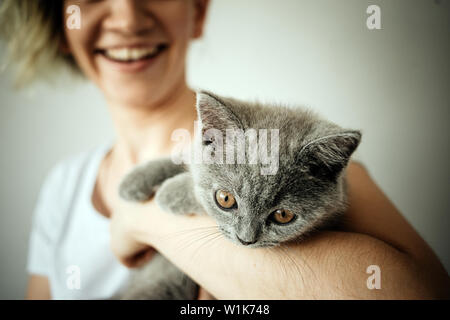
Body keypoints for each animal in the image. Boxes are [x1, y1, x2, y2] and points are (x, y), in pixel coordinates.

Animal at [117, 92, 362, 300]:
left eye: (283, 215)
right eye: (226, 199)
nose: (246, 239)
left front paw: (171, 191)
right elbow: (189, 158)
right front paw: (134, 180)